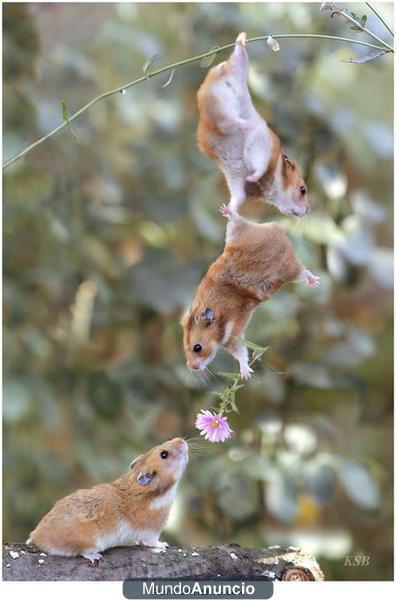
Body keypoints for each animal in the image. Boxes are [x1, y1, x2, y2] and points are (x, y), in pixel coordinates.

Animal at [26, 438, 189, 564]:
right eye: (164, 454)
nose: (182, 440)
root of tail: (36, 536)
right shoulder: (151, 530)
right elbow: (153, 542)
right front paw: (164, 545)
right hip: (89, 541)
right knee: (82, 552)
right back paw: (96, 556)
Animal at [181, 204, 320, 378]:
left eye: (197, 348)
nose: (191, 367)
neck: (219, 319)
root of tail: (279, 231)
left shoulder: (234, 334)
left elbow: (241, 353)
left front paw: (246, 375)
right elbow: (241, 353)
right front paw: (246, 374)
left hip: (290, 269)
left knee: (304, 272)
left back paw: (315, 283)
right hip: (236, 233)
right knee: (236, 219)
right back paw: (226, 210)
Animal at [197, 31, 310, 217]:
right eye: (302, 190)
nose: (308, 211)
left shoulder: (237, 182)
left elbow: (237, 199)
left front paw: (225, 211)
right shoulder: (260, 149)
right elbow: (258, 166)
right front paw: (253, 177)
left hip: (237, 71)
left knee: (238, 55)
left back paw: (241, 39)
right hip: (228, 101)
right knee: (229, 121)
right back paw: (246, 123)